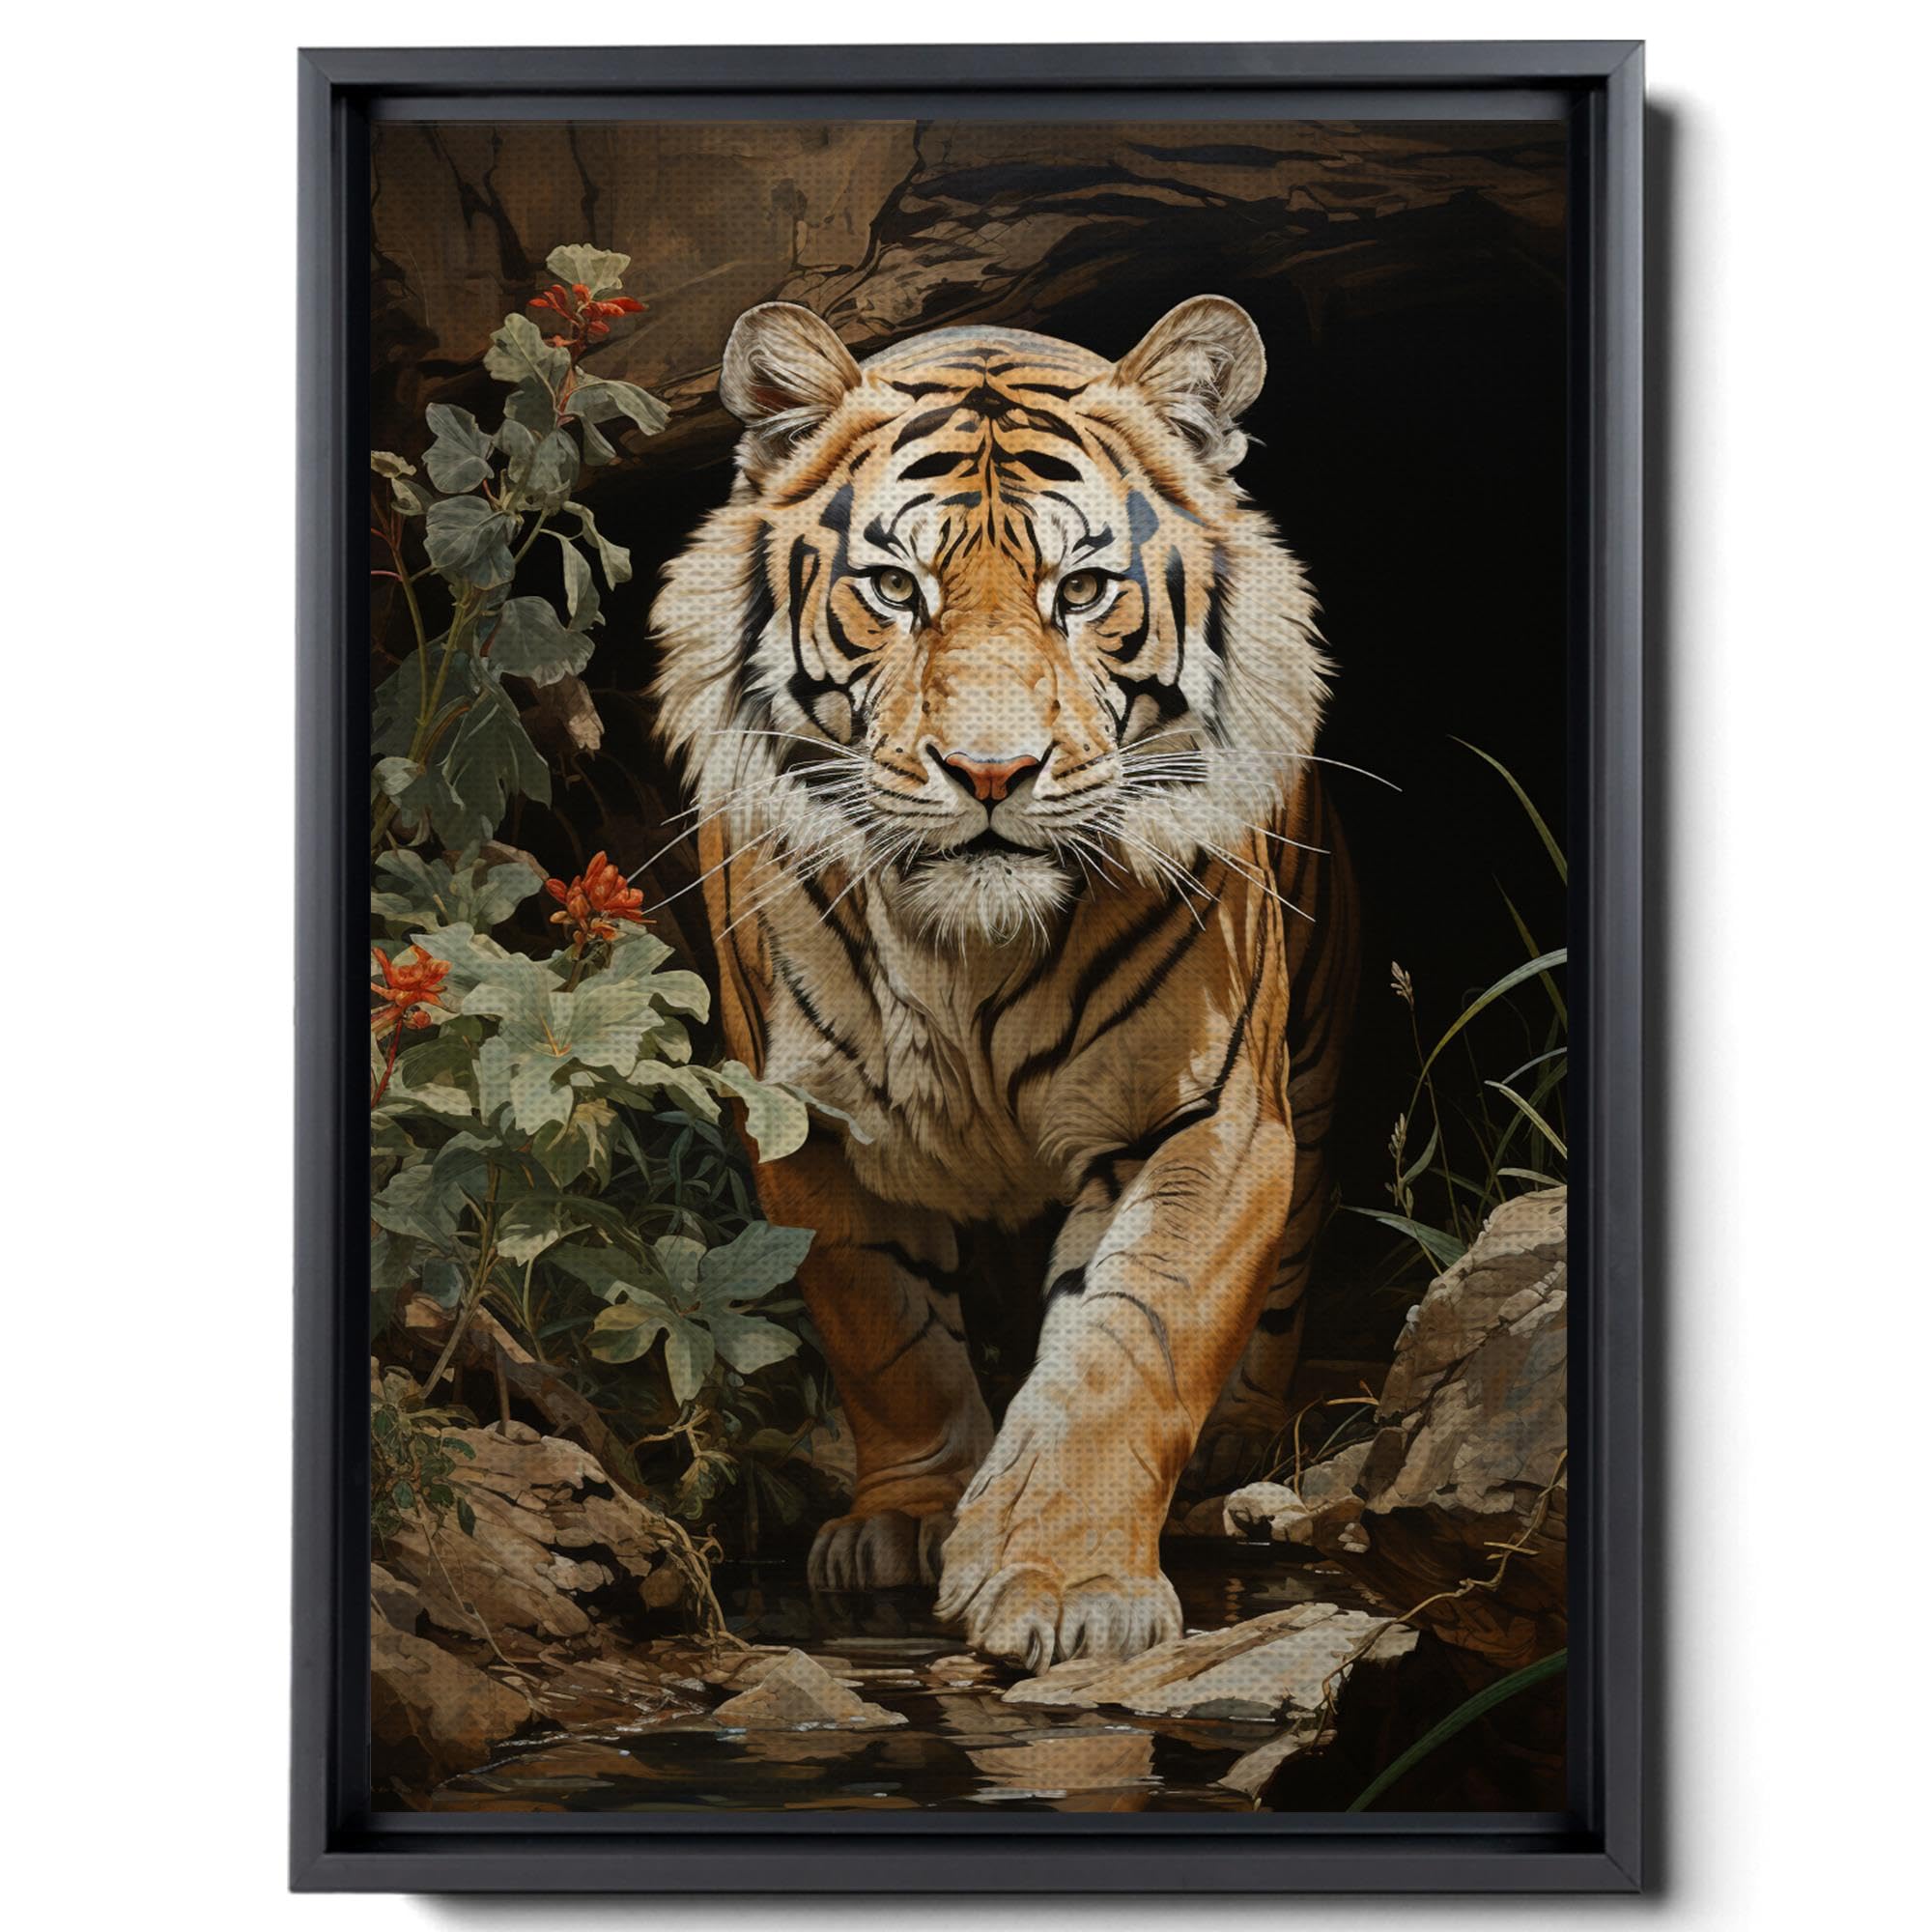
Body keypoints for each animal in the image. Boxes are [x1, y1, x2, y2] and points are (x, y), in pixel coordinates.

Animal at [650, 294, 1358, 1669]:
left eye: (1079, 590)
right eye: (893, 588)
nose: (989, 773)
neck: (962, 952)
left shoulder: (1207, 1120)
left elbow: (1127, 1342)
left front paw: (1065, 1582)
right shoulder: (805, 1124)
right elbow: (887, 1330)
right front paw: (910, 1517)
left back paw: (1239, 1455)